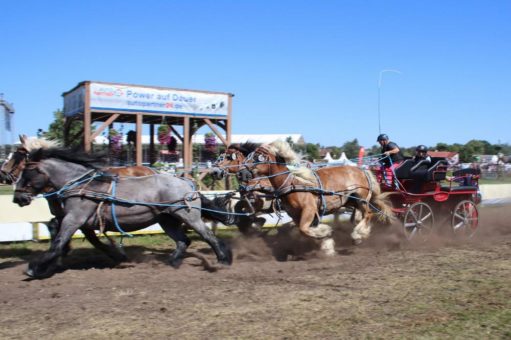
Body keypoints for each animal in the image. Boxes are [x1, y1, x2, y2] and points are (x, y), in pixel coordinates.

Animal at [13, 145, 234, 278]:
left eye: (27, 171)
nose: (17, 198)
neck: (81, 185)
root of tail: (187, 183)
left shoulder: (74, 219)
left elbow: (58, 242)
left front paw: (35, 268)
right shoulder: (79, 221)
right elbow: (62, 233)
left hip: (188, 216)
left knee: (209, 236)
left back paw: (224, 260)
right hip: (167, 220)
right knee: (183, 241)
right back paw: (172, 262)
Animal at [238, 140, 394, 255]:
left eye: (257, 157)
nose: (240, 173)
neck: (294, 184)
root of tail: (362, 170)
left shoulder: (309, 209)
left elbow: (303, 229)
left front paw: (326, 234)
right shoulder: (296, 215)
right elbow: (305, 230)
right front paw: (326, 243)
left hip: (362, 198)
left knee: (368, 214)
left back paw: (358, 235)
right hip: (351, 201)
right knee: (361, 215)